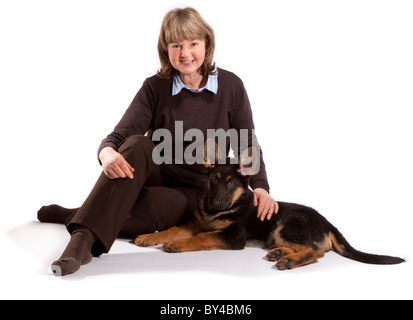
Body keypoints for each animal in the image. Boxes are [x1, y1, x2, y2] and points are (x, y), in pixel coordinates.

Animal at [134, 139, 402, 268]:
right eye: (214, 180)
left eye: (231, 184)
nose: (216, 203)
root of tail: (329, 223)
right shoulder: (197, 222)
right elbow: (175, 228)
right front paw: (148, 237)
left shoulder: (233, 237)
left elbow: (202, 237)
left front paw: (178, 245)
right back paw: (280, 254)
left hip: (283, 225)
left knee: (316, 251)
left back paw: (289, 260)